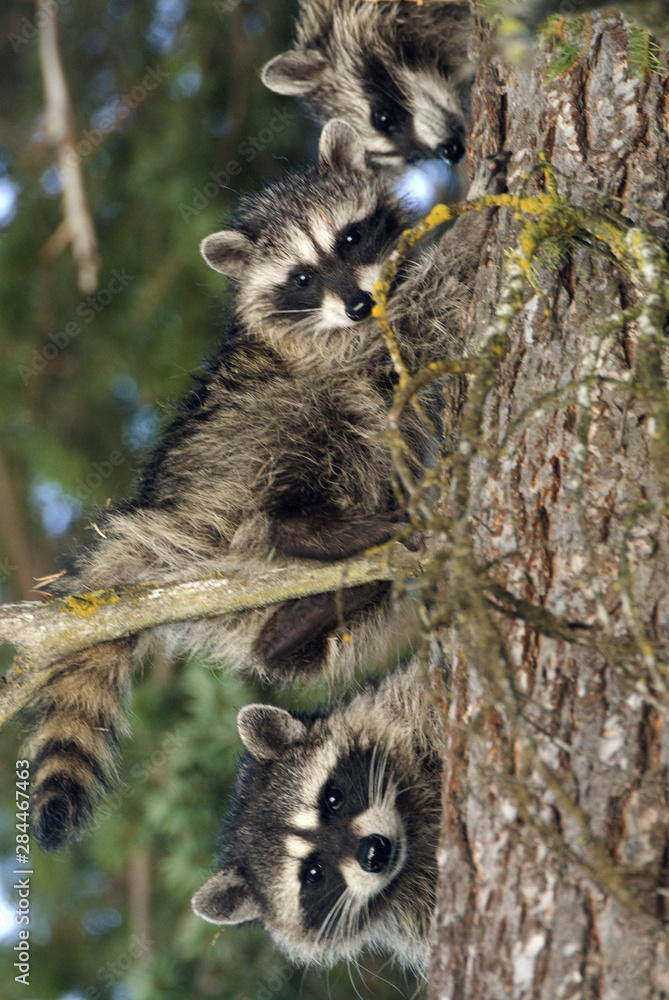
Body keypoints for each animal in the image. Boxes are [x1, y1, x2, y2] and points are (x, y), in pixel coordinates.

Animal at [27, 121, 505, 853]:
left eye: (349, 238)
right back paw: (309, 527)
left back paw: (298, 625)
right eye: (301, 278)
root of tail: (169, 516)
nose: (359, 301)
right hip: (244, 448)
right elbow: (415, 318)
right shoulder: (330, 353)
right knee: (320, 420)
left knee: (286, 644)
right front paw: (467, 227)